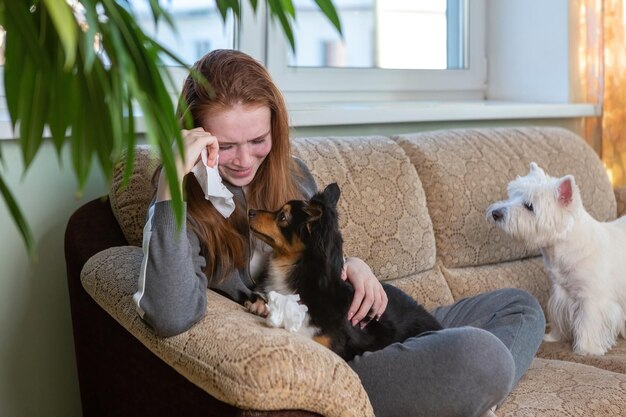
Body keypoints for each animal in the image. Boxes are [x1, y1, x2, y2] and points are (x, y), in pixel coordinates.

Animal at [486, 162, 624, 354]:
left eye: (529, 206)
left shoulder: (592, 298)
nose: (496, 213)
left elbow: (589, 323)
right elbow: (558, 314)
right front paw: (554, 337)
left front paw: (586, 349)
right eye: (512, 195)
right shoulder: (560, 292)